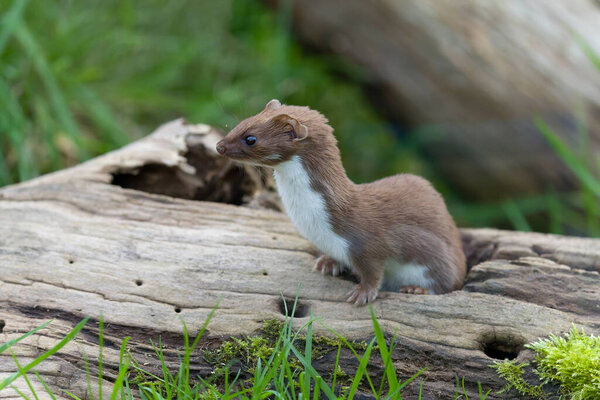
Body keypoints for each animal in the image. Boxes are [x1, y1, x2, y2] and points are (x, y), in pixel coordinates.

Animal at [217, 99, 468, 304]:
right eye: (242, 122)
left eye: (250, 138)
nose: (220, 146)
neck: (315, 224)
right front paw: (328, 262)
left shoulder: (368, 242)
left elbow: (373, 270)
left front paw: (362, 293)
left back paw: (416, 289)